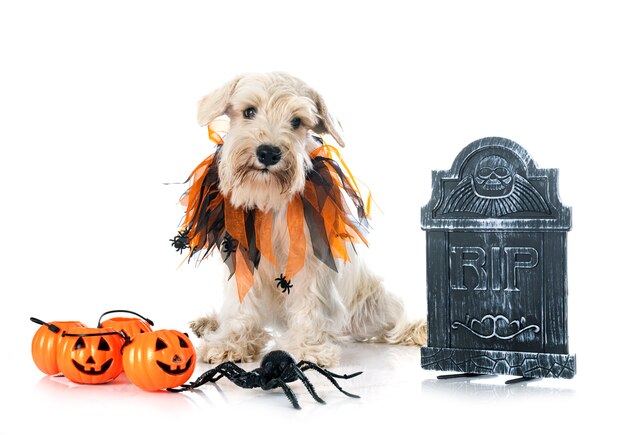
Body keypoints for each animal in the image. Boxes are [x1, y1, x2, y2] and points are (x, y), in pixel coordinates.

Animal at [183, 73, 422, 366]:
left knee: (393, 323)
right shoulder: (243, 257)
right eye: (249, 111)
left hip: (372, 308)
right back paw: (210, 323)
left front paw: (310, 348)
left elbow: (311, 304)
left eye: (296, 121)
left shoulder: (312, 261)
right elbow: (241, 306)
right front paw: (232, 342)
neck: (270, 202)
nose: (268, 153)